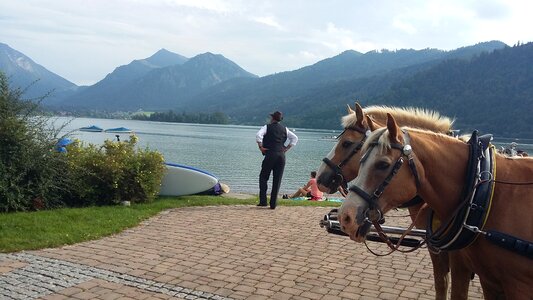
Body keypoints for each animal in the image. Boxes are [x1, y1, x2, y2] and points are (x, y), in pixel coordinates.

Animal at [338, 113, 532, 298]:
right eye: (361, 159)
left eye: (383, 164)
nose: (345, 216)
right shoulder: (485, 279)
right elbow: (443, 285)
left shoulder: (515, 285)